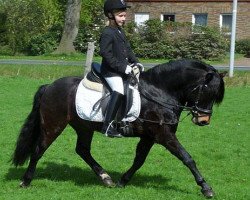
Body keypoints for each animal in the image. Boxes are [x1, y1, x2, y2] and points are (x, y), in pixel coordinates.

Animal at [12, 58, 226, 198]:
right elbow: (187, 158)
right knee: (39, 150)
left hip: (83, 127)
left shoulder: (150, 136)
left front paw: (123, 181)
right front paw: (206, 188)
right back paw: (25, 181)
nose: (203, 120)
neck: (159, 92)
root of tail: (49, 86)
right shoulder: (163, 135)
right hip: (53, 125)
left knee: (82, 150)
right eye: (207, 91)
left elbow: (139, 160)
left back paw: (106, 178)